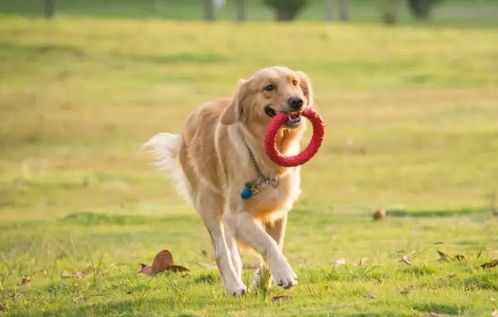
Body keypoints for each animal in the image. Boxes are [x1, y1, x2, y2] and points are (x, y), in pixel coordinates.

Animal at [146, 65, 314, 296]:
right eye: (269, 87)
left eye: (295, 82)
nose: (297, 101)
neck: (262, 154)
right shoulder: (239, 215)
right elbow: (267, 243)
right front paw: (284, 273)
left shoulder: (277, 212)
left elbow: (275, 243)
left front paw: (262, 281)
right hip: (207, 202)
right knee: (220, 249)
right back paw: (234, 285)